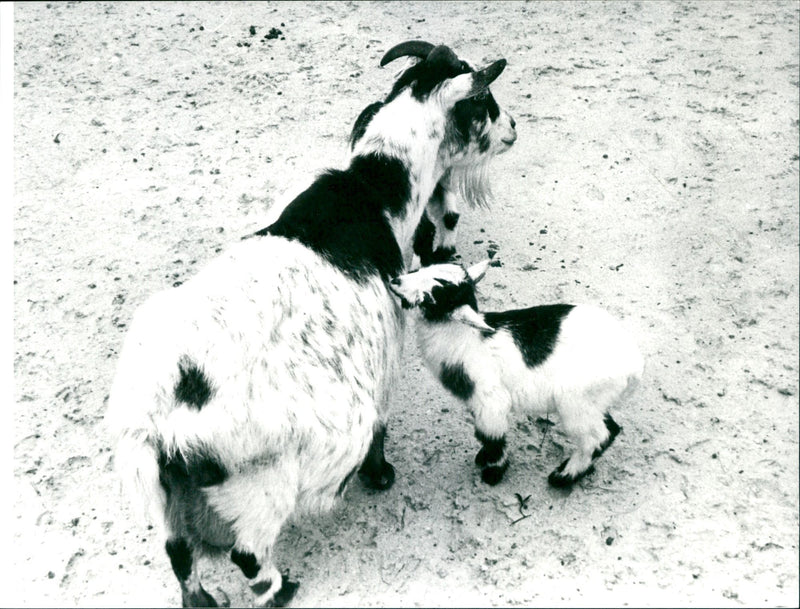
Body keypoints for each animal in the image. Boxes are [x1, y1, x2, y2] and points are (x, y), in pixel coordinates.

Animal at [106, 42, 514, 608]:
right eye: (485, 103)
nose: (514, 128)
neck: (371, 194)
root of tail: (158, 424)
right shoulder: (381, 362)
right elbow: (381, 426)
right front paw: (381, 477)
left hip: (172, 507)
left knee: (181, 557)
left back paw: (204, 600)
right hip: (262, 484)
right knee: (247, 555)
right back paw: (281, 589)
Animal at [389, 261, 643, 487]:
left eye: (436, 292)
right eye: (423, 268)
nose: (395, 281)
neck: (466, 340)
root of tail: (635, 365)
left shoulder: (490, 399)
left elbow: (491, 435)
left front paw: (493, 473)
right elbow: (483, 433)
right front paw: (483, 459)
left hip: (575, 400)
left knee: (593, 438)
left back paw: (563, 477)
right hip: (594, 400)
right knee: (610, 430)